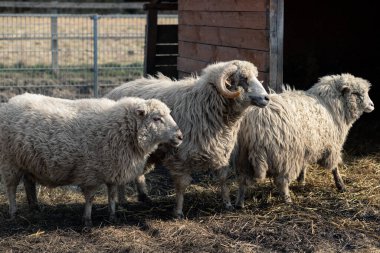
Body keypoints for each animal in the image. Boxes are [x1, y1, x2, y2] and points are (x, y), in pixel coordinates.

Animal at [0, 93, 183, 225]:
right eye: (156, 118)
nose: (180, 136)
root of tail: (9, 103)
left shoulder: (113, 171)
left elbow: (112, 195)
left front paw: (112, 216)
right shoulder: (90, 173)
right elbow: (90, 198)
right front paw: (87, 220)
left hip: (27, 162)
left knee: (28, 183)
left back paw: (35, 207)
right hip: (10, 162)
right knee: (11, 189)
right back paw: (13, 212)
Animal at [104, 59, 270, 217]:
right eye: (244, 78)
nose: (266, 98)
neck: (204, 105)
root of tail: (117, 88)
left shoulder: (220, 151)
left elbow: (223, 178)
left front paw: (227, 203)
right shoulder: (180, 156)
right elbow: (182, 185)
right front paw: (178, 211)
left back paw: (143, 196)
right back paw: (122, 200)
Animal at [232, 73, 374, 208]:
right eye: (355, 93)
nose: (372, 105)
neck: (330, 105)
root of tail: (251, 120)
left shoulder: (306, 145)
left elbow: (304, 165)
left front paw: (302, 181)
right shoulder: (332, 145)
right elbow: (334, 168)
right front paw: (341, 185)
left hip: (242, 157)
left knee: (243, 181)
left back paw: (239, 203)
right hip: (284, 155)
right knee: (281, 181)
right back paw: (287, 200)